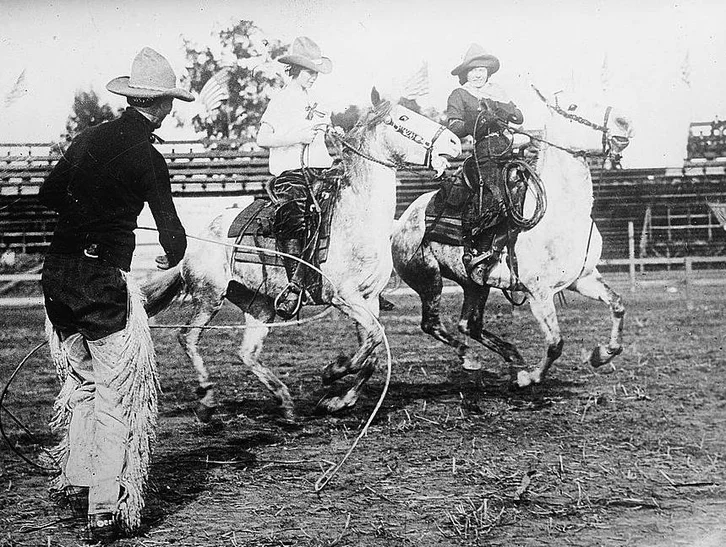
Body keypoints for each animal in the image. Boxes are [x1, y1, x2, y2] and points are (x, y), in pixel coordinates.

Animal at [142, 91, 460, 424]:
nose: (453, 142)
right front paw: (332, 372)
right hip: (209, 295)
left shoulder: (369, 299)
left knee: (246, 352)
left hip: (259, 304)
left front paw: (338, 401)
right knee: (187, 337)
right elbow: (373, 339)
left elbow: (372, 350)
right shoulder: (343, 297)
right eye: (402, 118)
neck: (358, 216)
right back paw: (207, 400)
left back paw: (285, 403)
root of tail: (194, 240)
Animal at [390, 90, 636, 388]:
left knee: (469, 324)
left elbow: (618, 305)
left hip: (474, 284)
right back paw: (474, 360)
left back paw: (512, 358)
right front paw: (531, 377)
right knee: (432, 324)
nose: (624, 122)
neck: (561, 214)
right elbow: (555, 343)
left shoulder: (583, 278)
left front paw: (601, 354)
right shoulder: (538, 293)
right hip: (428, 279)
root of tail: (402, 221)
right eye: (573, 105)